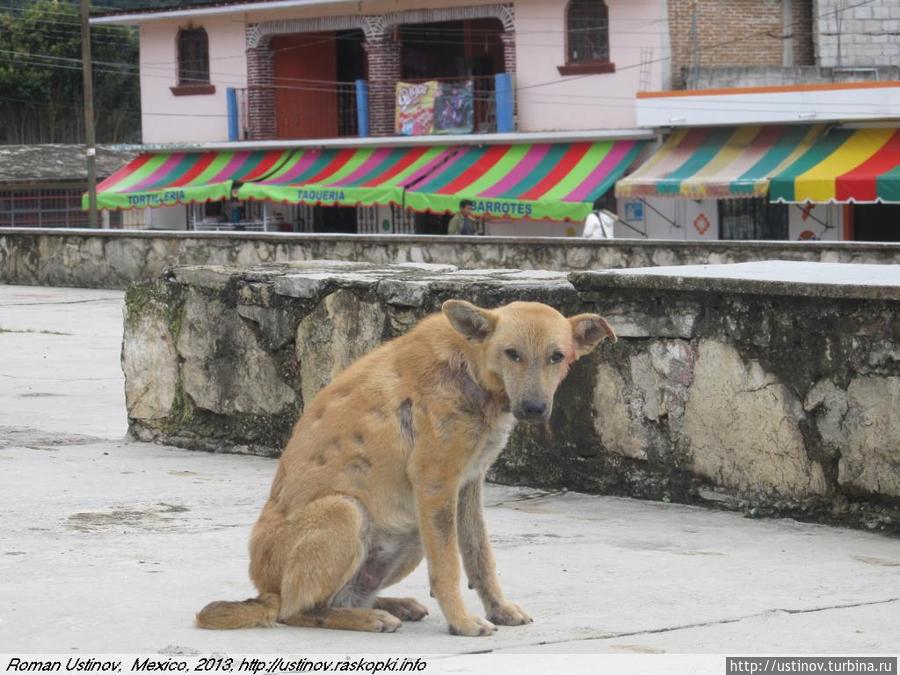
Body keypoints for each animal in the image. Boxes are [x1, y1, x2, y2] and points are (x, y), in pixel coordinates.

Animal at [197, 298, 616, 636]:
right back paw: (369, 619)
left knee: (344, 596)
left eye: (556, 357)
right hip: (347, 511)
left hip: (410, 530)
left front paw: (498, 609)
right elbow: (448, 567)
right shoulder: (436, 484)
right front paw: (462, 622)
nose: (533, 409)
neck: (469, 368)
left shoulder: (467, 487)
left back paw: (389, 605)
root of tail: (264, 590)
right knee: (296, 609)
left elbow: (480, 557)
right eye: (512, 353)